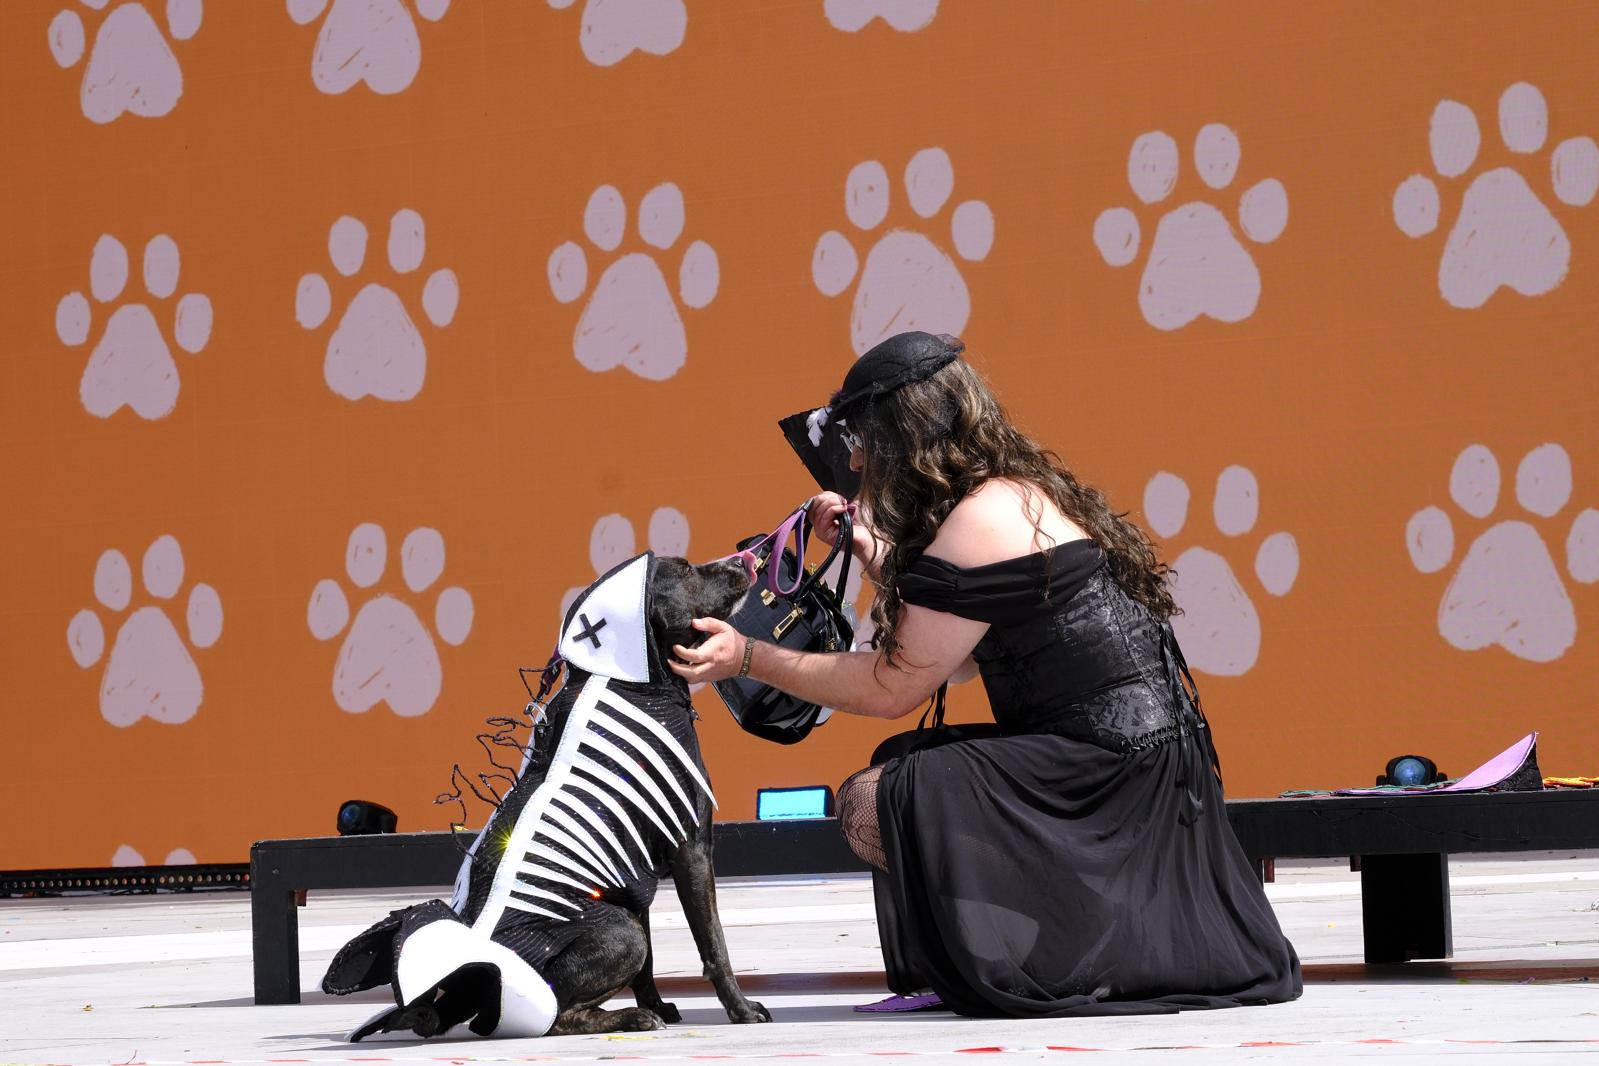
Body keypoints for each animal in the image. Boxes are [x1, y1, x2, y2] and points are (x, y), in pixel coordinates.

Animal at [321, 556, 764, 1035]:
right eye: (684, 570)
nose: (743, 556)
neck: (630, 682)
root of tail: (476, 970)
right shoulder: (692, 851)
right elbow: (714, 944)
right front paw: (740, 1009)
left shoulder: (629, 873)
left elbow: (649, 969)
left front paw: (660, 1004)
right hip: (619, 930)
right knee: (556, 1017)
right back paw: (629, 1017)